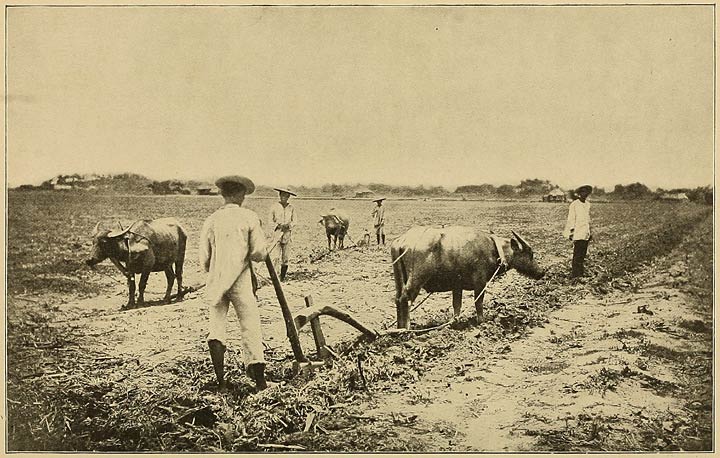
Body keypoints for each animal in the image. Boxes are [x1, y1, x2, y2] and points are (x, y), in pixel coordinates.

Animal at [390, 226, 544, 328]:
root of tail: (402, 241)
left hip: (399, 279)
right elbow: (478, 302)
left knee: (397, 299)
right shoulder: (480, 283)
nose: (541, 272)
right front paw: (481, 321)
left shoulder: (457, 286)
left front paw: (455, 322)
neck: (494, 250)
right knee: (405, 299)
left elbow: (457, 305)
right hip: (417, 278)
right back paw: (406, 328)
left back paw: (398, 328)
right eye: (530, 253)